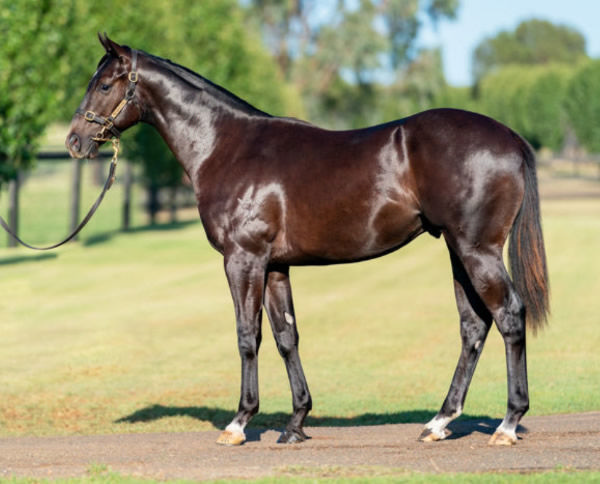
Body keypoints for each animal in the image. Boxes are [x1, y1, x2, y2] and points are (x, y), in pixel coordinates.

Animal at [64, 34, 548, 448]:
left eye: (104, 84)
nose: (74, 141)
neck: (227, 146)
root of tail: (511, 139)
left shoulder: (243, 260)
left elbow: (248, 335)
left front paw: (239, 423)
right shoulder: (276, 265)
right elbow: (286, 336)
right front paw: (296, 423)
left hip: (476, 250)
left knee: (508, 315)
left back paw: (507, 424)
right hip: (457, 250)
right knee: (473, 326)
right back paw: (439, 422)